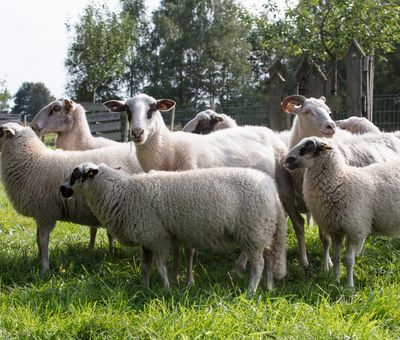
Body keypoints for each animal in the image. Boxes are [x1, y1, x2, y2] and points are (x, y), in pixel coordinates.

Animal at [0, 123, 141, 274]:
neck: (31, 160)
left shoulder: (46, 214)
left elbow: (43, 241)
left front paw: (44, 269)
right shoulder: (40, 214)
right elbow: (38, 239)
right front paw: (38, 260)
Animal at [61, 163, 288, 292]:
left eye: (75, 174)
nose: (62, 189)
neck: (122, 193)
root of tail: (273, 192)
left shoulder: (158, 237)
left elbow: (160, 267)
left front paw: (166, 289)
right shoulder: (147, 240)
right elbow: (145, 267)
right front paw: (145, 289)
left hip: (253, 232)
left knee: (258, 265)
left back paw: (251, 291)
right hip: (263, 233)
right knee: (269, 260)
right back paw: (268, 288)